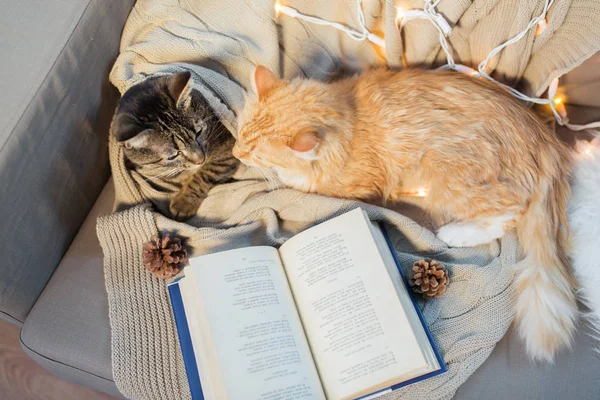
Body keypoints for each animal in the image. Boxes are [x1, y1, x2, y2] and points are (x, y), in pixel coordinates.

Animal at [111, 73, 238, 220]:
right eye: (173, 156)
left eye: (198, 133)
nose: (201, 160)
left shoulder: (227, 147)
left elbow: (205, 174)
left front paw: (184, 202)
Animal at [233, 65, 576, 362]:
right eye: (240, 132)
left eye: (257, 153)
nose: (236, 153)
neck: (350, 120)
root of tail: (542, 136)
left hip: (446, 177)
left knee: (510, 211)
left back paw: (457, 233)